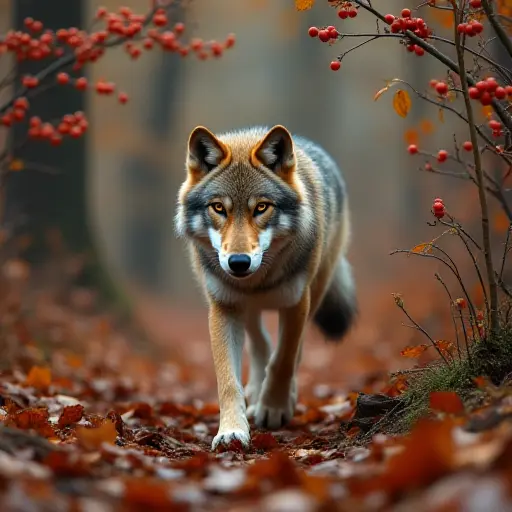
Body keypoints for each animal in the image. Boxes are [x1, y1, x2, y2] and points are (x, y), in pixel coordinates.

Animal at [175, 126, 356, 450]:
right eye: (218, 208)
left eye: (261, 207)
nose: (238, 263)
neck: (259, 282)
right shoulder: (223, 307)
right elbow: (228, 381)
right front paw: (231, 431)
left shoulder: (297, 302)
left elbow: (284, 359)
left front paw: (273, 408)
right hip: (243, 307)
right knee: (260, 341)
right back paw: (255, 389)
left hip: (317, 290)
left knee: (292, 351)